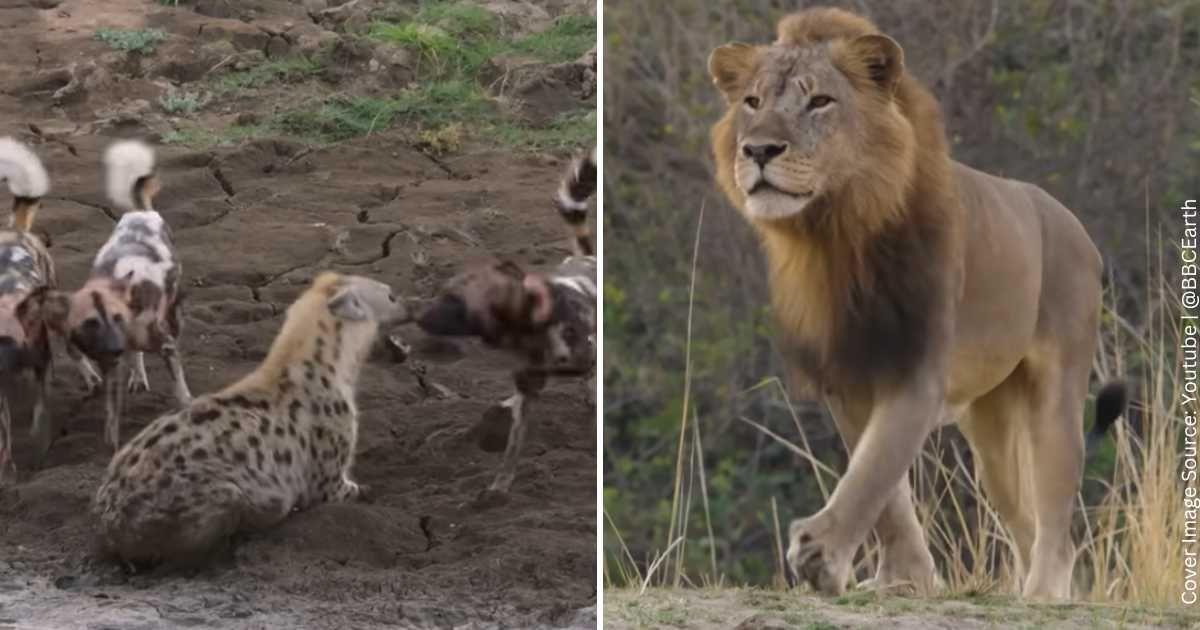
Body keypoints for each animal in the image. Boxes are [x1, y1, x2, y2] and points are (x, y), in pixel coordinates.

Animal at [706, 8, 1126, 600]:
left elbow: (875, 468)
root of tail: (1077, 227)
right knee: (1022, 517)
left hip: (1057, 394)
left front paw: (820, 554)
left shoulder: (917, 368)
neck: (836, 238)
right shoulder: (848, 375)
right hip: (990, 432)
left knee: (1055, 514)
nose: (759, 150)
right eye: (752, 102)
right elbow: (886, 491)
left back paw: (1044, 594)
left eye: (820, 102)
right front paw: (901, 579)